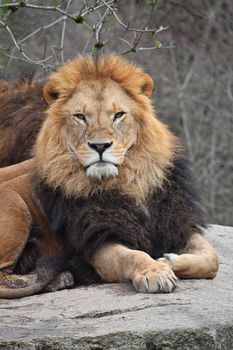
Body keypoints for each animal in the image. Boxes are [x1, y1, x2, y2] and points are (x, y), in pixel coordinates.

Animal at [0, 54, 218, 298]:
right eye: (80, 117)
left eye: (118, 115)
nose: (100, 146)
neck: (130, 182)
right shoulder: (99, 244)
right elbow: (133, 256)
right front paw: (155, 272)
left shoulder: (175, 225)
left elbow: (212, 258)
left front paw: (169, 260)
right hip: (15, 204)